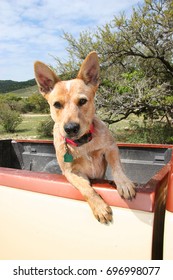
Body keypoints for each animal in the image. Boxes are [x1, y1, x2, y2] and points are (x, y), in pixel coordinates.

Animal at [33, 51, 136, 224]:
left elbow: (117, 167)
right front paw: (99, 206)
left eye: (82, 101)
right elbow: (87, 189)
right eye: (57, 105)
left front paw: (124, 183)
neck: (82, 144)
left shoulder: (111, 148)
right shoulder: (71, 173)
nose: (70, 128)